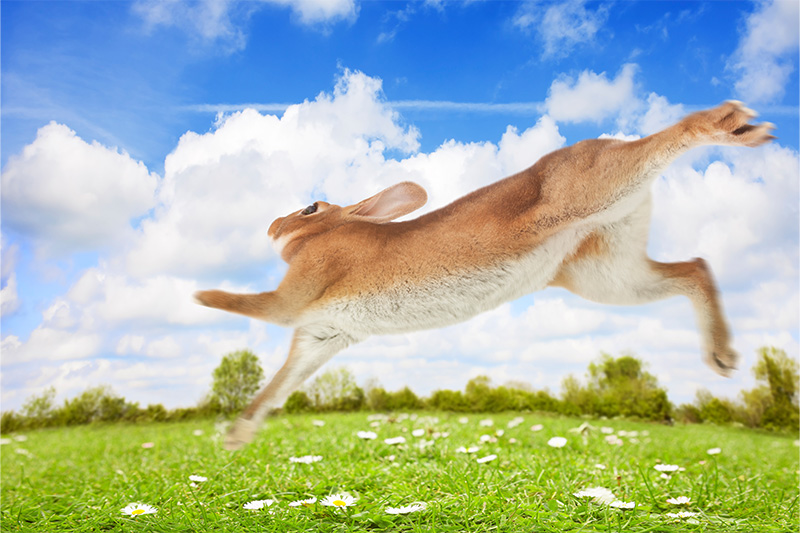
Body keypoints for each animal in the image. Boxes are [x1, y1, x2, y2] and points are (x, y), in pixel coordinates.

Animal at [195, 101, 775, 450]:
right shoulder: (322, 335)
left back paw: (738, 125)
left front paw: (199, 294)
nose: (272, 225)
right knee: (694, 267)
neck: (329, 234)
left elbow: (254, 304)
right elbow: (278, 384)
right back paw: (723, 356)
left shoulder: (295, 296)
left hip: (593, 189)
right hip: (606, 273)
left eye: (311, 207)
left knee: (674, 137)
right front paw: (238, 435)